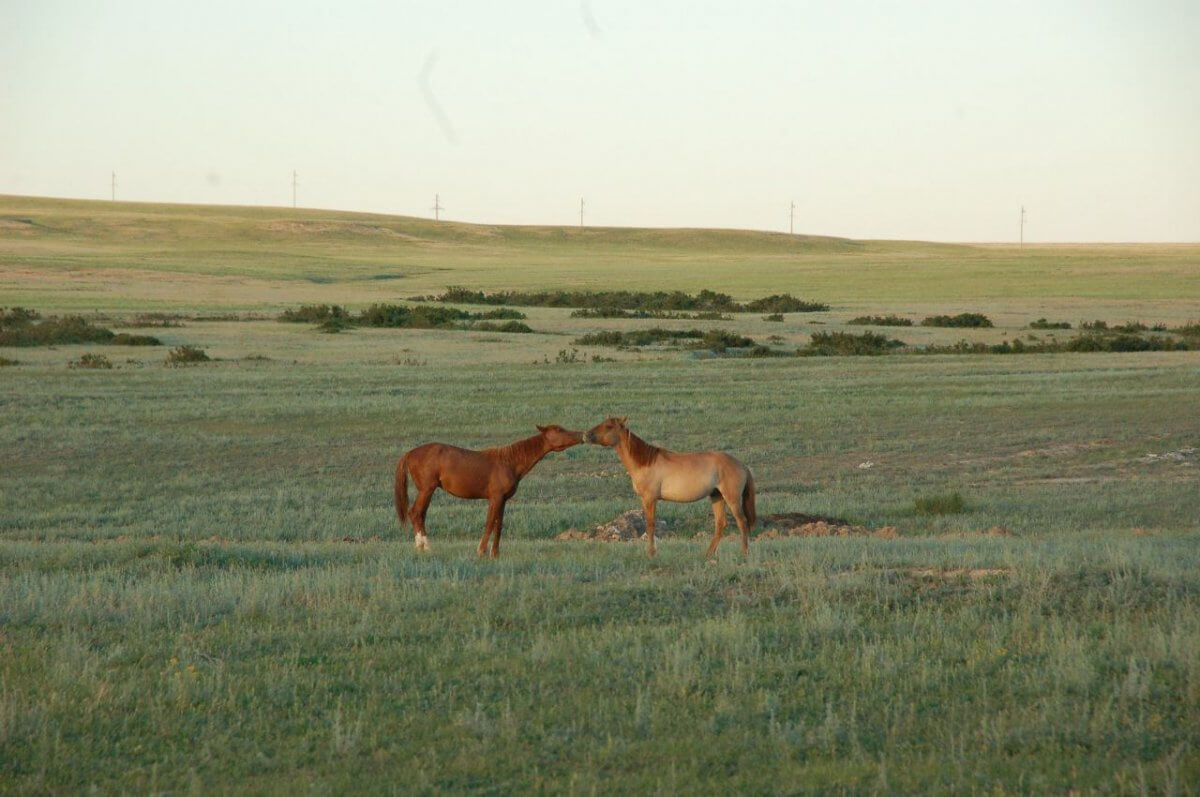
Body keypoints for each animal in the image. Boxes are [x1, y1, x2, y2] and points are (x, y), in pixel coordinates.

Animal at [396, 422, 583, 559]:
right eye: (558, 430)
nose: (582, 435)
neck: (509, 461)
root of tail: (409, 453)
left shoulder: (503, 500)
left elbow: (498, 525)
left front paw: (495, 554)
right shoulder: (495, 498)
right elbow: (490, 523)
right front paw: (481, 551)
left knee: (420, 515)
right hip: (427, 490)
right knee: (416, 513)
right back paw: (425, 547)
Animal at [583, 420, 758, 556]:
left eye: (608, 426)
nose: (586, 434)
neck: (645, 462)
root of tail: (742, 465)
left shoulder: (650, 499)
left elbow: (650, 525)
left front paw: (651, 553)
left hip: (732, 499)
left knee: (742, 522)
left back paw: (744, 554)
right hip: (717, 497)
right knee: (721, 524)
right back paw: (708, 554)